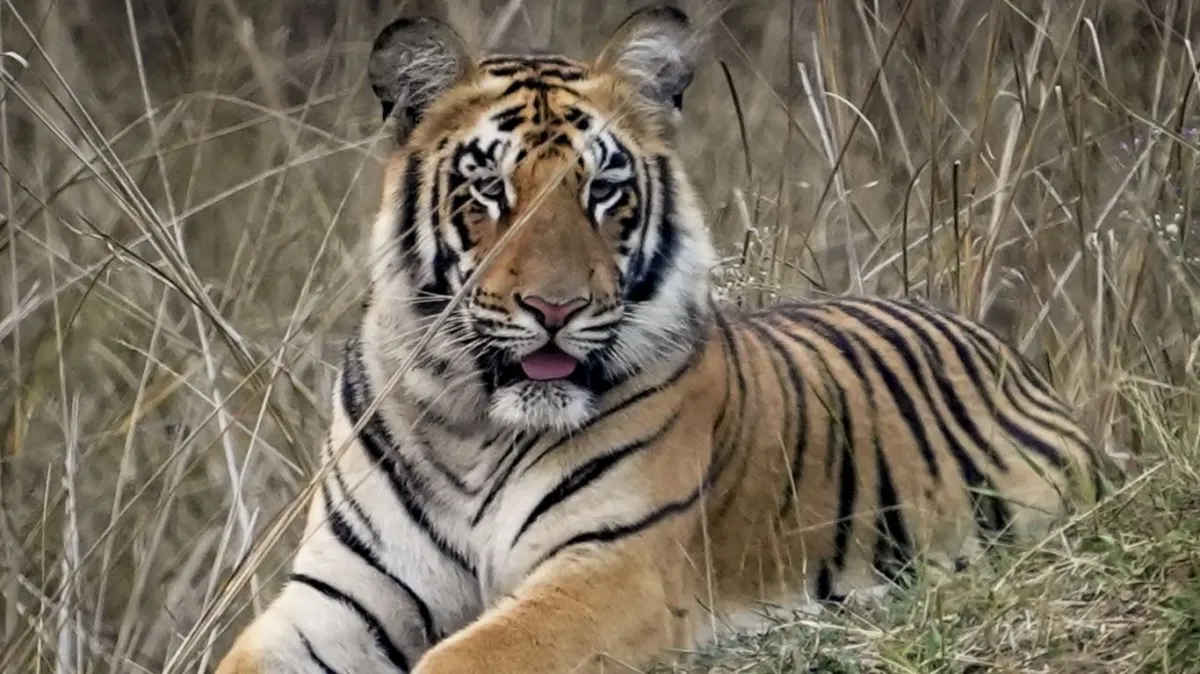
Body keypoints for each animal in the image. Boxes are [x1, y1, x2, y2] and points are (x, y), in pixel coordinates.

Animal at [213, 6, 1108, 674]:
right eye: (490, 188)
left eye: (604, 189)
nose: (554, 307)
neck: (473, 421)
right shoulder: (342, 592)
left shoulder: (613, 568)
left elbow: (462, 657)